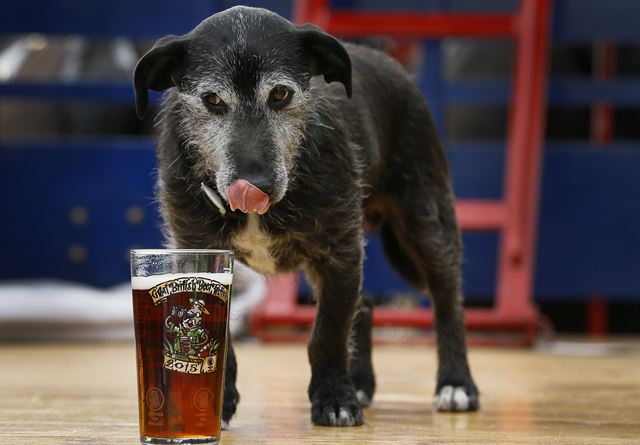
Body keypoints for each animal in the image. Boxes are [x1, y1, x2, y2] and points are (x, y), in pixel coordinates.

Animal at [134, 4, 476, 426]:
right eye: (212, 99)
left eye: (280, 93)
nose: (255, 184)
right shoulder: (200, 249)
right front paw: (217, 401)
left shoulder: (338, 253)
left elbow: (328, 331)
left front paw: (334, 399)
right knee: (364, 304)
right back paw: (361, 382)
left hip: (425, 223)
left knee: (448, 301)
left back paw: (455, 383)